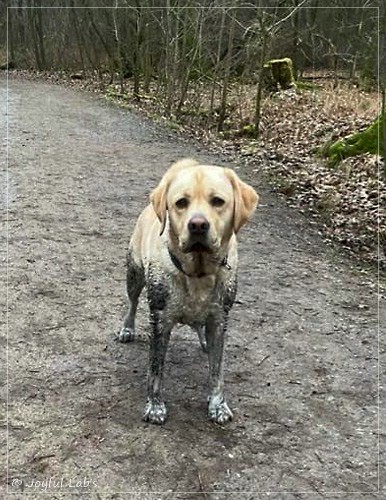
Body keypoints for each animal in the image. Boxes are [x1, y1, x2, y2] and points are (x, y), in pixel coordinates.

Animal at [119, 158, 258, 424]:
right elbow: (156, 369)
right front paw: (155, 406)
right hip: (134, 274)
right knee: (132, 302)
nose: (198, 225)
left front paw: (218, 405)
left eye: (218, 201)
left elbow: (217, 369)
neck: (197, 272)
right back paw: (127, 328)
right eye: (181, 202)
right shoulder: (160, 320)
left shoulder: (220, 319)